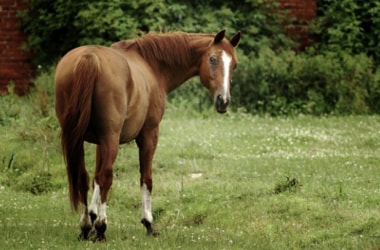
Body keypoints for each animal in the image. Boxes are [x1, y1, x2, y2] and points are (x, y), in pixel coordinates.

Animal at [53, 29, 240, 240]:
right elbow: (146, 179)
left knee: (83, 177)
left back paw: (85, 227)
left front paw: (92, 216)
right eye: (213, 59)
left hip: (80, 139)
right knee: (106, 177)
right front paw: (148, 222)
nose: (223, 101)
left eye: (234, 64)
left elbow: (95, 179)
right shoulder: (148, 135)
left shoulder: (101, 142)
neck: (152, 66)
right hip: (110, 139)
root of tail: (89, 57)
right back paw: (101, 226)